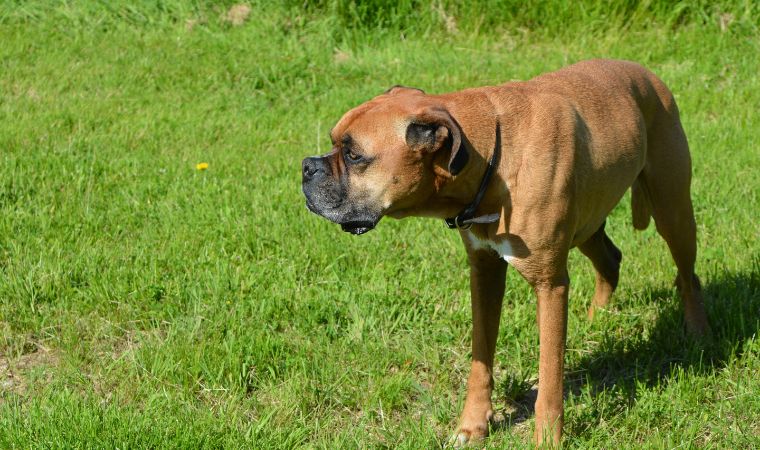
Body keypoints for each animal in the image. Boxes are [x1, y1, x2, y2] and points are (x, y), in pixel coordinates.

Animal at [300, 59, 708, 446]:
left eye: (354, 155)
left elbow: (550, 376)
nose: (306, 166)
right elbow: (480, 361)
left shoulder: (550, 285)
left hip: (672, 210)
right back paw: (599, 320)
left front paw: (547, 439)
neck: (492, 158)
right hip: (587, 224)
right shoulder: (484, 273)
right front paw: (472, 426)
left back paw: (697, 336)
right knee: (611, 260)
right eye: (334, 143)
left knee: (688, 277)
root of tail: (647, 74)